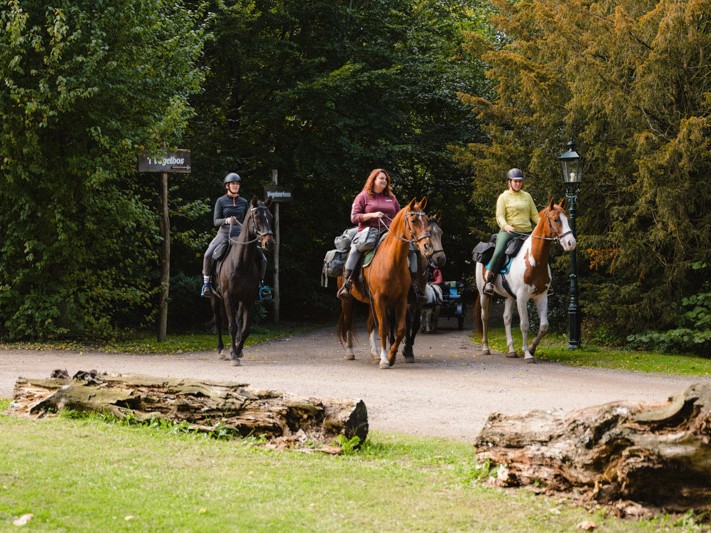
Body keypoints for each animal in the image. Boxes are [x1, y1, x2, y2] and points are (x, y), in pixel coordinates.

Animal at [210, 197, 275, 365]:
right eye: (257, 217)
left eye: (271, 217)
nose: (269, 243)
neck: (241, 262)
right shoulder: (228, 297)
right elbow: (232, 326)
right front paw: (233, 356)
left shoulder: (249, 299)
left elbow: (245, 328)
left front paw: (238, 351)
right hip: (215, 297)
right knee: (218, 321)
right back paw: (221, 351)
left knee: (238, 321)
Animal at [336, 198, 433, 368]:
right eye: (413, 220)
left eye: (427, 221)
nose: (427, 246)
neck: (392, 261)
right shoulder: (380, 299)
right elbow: (384, 329)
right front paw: (384, 360)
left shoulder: (400, 300)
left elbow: (400, 329)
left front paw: (391, 356)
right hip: (348, 301)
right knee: (348, 323)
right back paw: (350, 353)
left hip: (371, 302)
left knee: (370, 325)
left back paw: (374, 355)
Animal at [473, 198, 576, 362]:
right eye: (556, 219)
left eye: (567, 218)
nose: (571, 243)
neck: (534, 260)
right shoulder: (522, 297)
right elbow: (525, 324)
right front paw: (527, 353)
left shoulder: (541, 296)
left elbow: (544, 326)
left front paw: (532, 348)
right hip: (484, 294)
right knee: (485, 317)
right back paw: (485, 348)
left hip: (509, 297)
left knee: (507, 318)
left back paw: (511, 350)